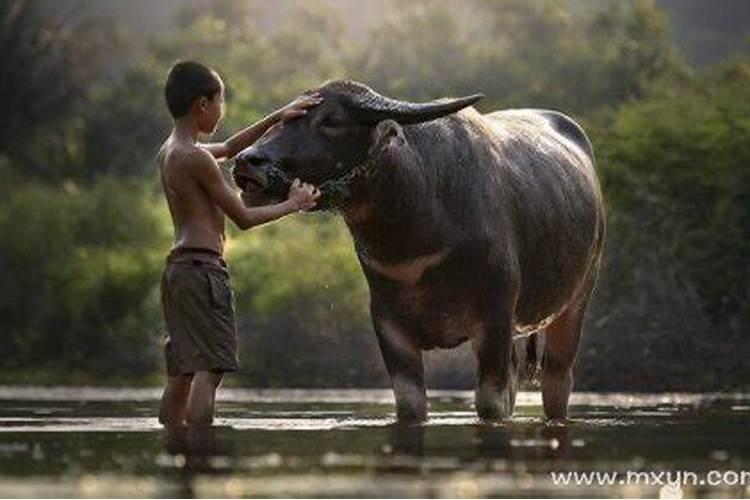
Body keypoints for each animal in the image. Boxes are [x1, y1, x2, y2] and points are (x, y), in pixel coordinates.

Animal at [234, 79, 604, 422]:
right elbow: (410, 404)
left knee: (557, 380)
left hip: (575, 302)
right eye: (285, 116)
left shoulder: (495, 319)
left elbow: (490, 403)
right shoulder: (390, 326)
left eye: (332, 120)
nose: (247, 162)